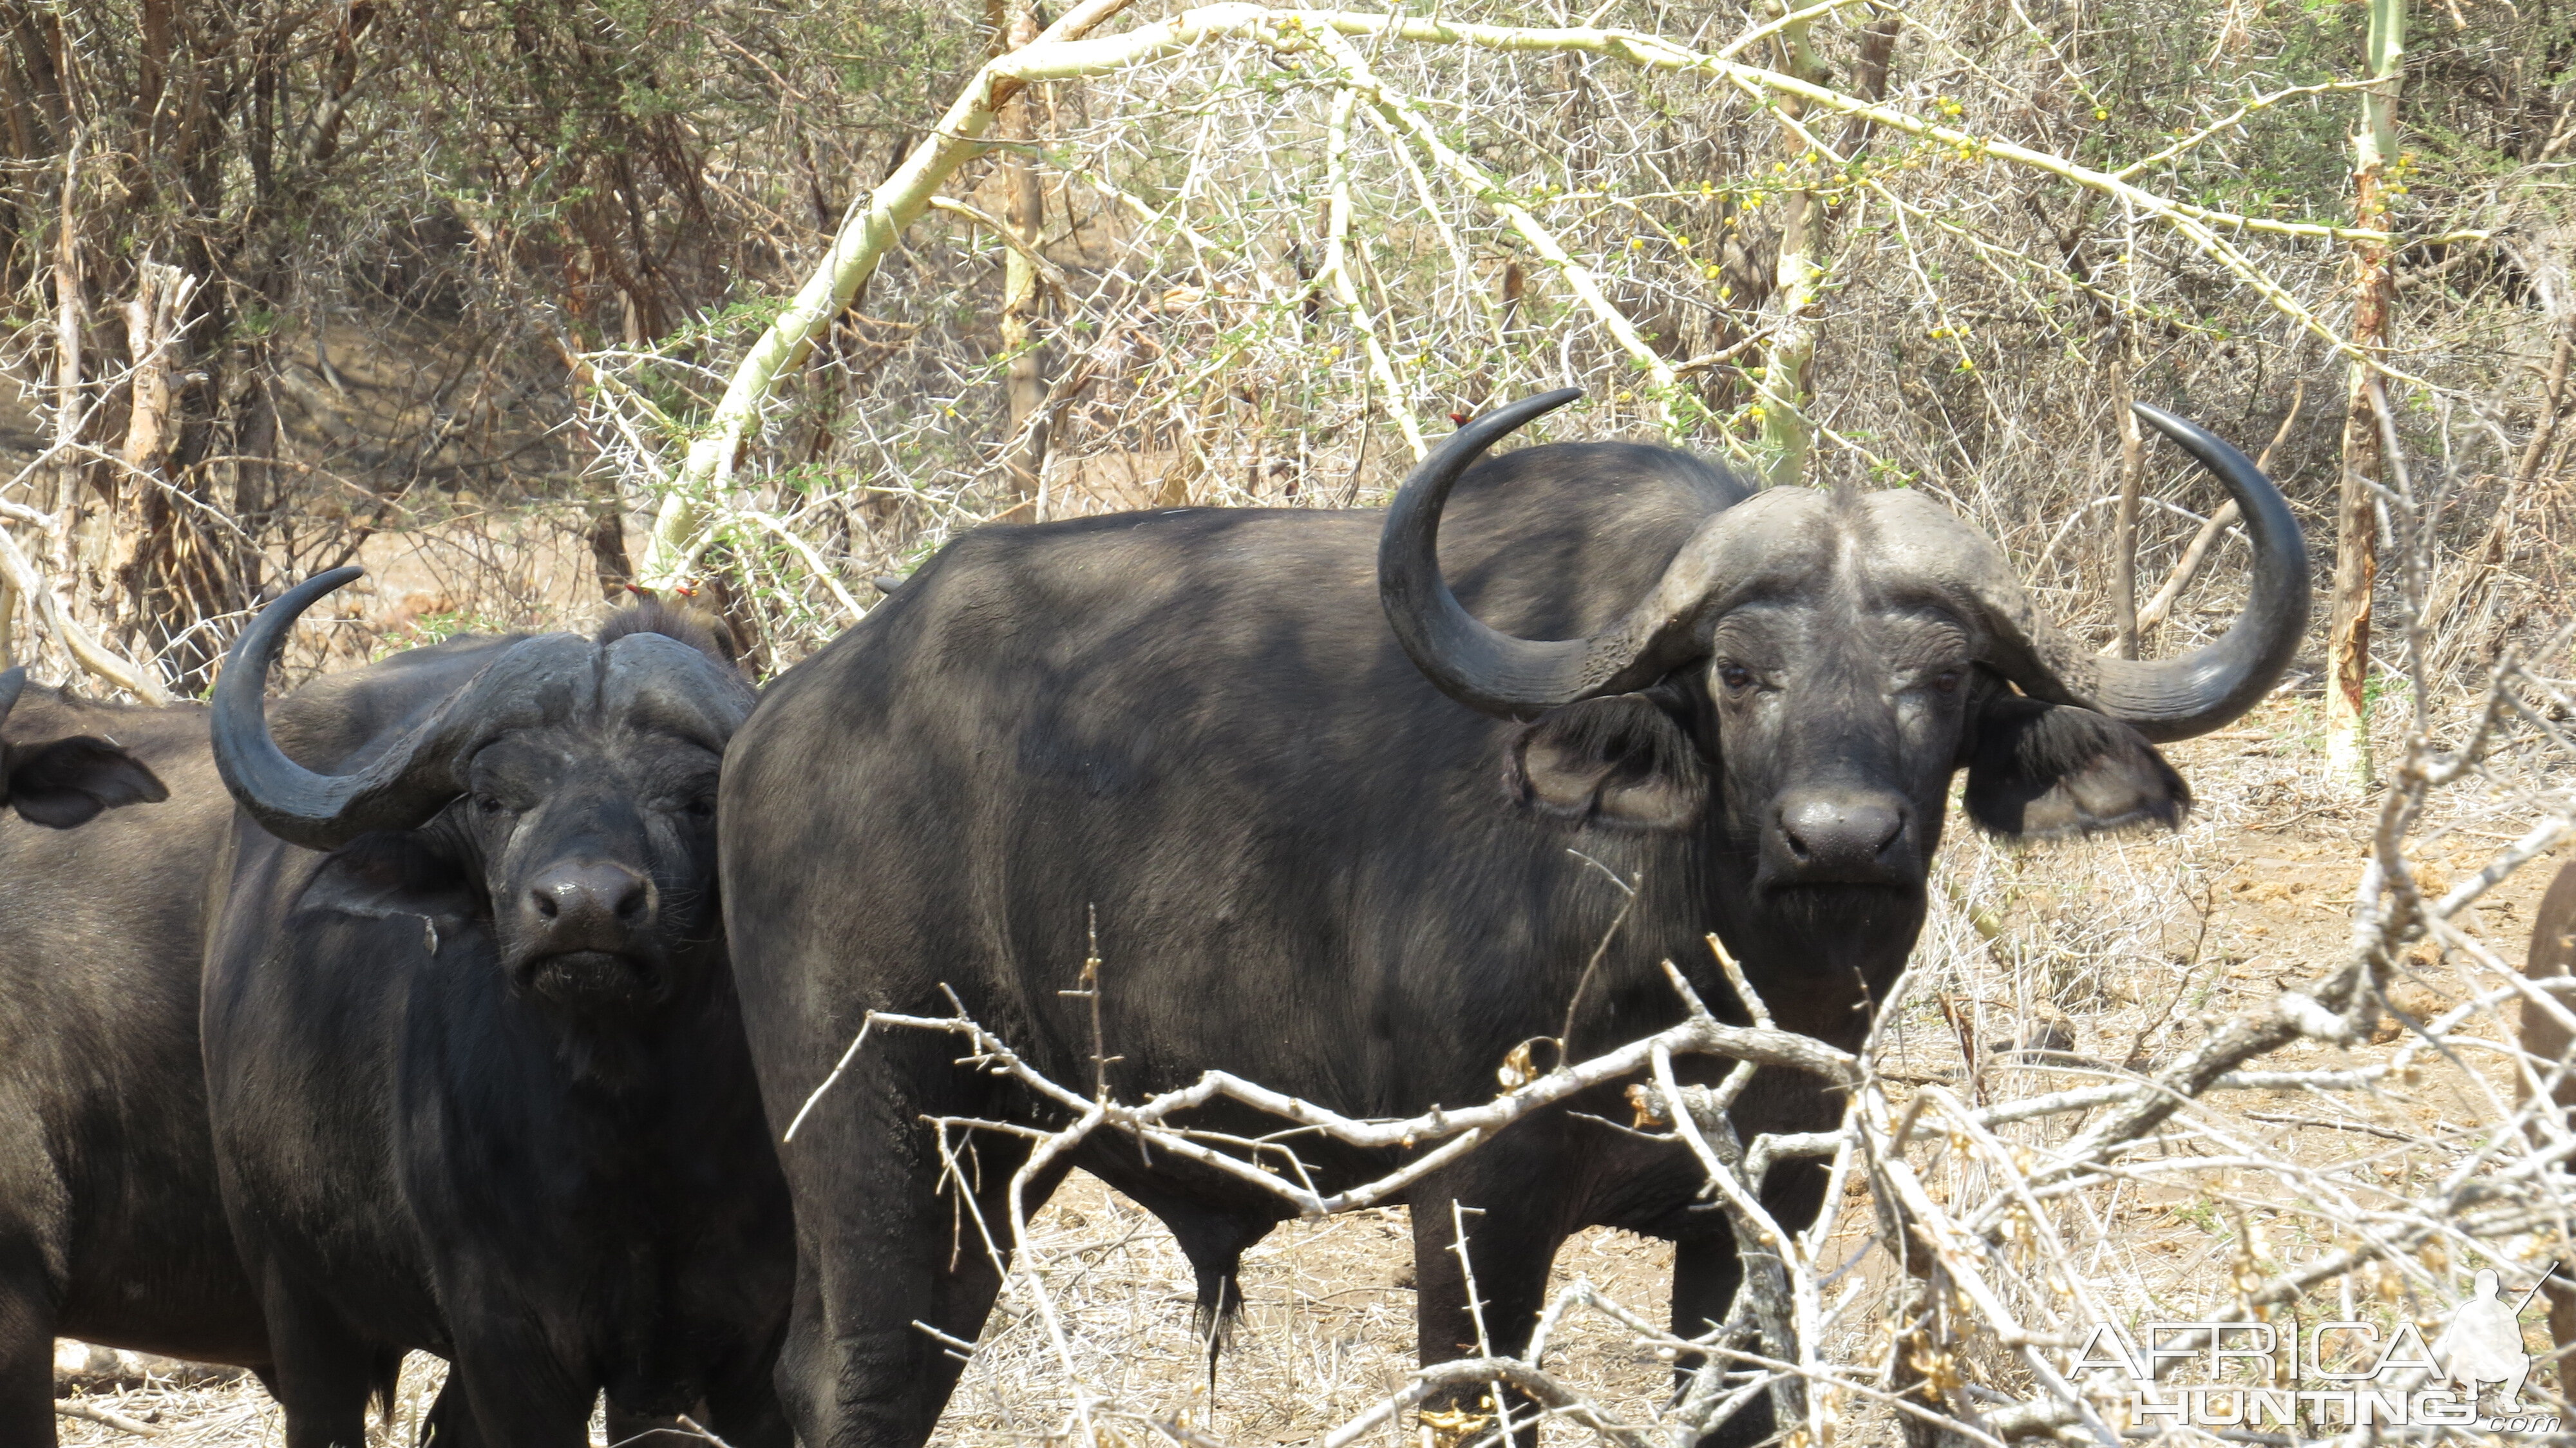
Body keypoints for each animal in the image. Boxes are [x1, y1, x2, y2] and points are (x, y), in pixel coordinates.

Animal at [204, 575, 793, 1443]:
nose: (584, 907)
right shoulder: (509, 1345)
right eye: (493, 799)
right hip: (296, 1293)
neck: (629, 1140)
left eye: (698, 799)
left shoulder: (739, 1348)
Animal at [716, 389, 2308, 1433]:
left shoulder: (1765, 1205)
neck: (1692, 945)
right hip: (891, 1134)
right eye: (1739, 673)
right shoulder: (1474, 1205)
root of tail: (791, 712)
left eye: (1946, 681)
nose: (1841, 836)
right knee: (860, 1374)